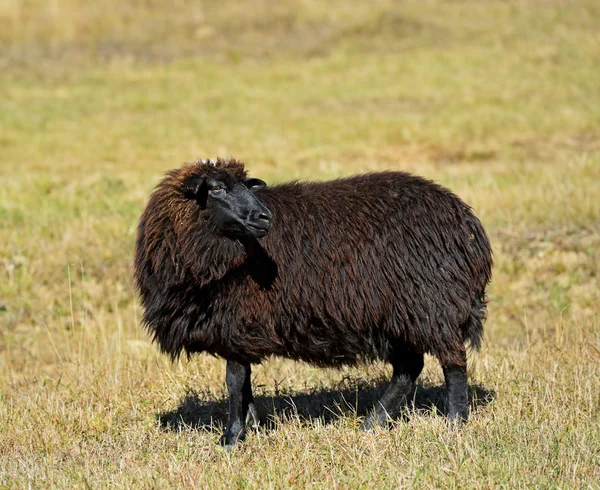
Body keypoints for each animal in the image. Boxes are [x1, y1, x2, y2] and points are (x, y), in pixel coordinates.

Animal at [135, 158, 492, 448]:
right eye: (217, 188)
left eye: (244, 187)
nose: (264, 218)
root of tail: (469, 225)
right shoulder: (241, 329)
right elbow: (245, 383)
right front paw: (254, 427)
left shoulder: (238, 321)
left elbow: (234, 381)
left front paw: (231, 439)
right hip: (399, 314)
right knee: (408, 368)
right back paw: (372, 424)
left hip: (433, 305)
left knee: (453, 363)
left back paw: (455, 422)